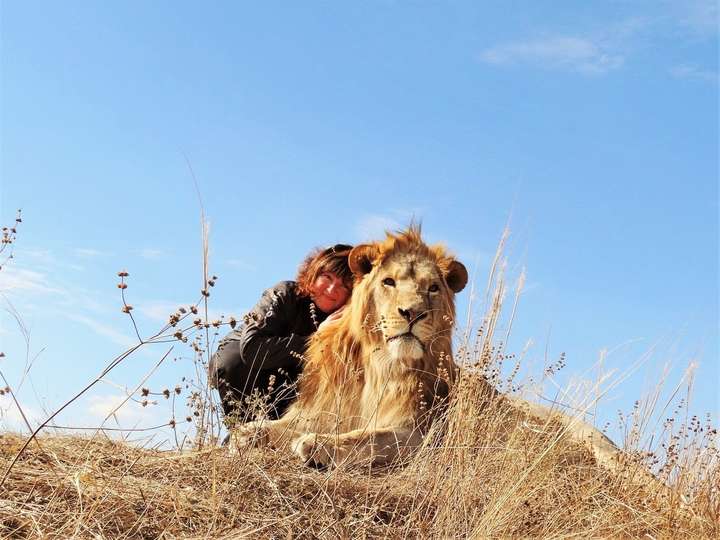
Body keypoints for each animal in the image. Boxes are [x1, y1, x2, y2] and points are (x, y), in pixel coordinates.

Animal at [231, 226, 636, 474]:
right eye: (389, 282)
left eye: (432, 288)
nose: (412, 313)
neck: (375, 366)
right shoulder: (324, 409)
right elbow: (263, 429)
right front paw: (246, 437)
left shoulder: (420, 434)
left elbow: (367, 438)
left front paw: (316, 445)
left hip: (596, 444)